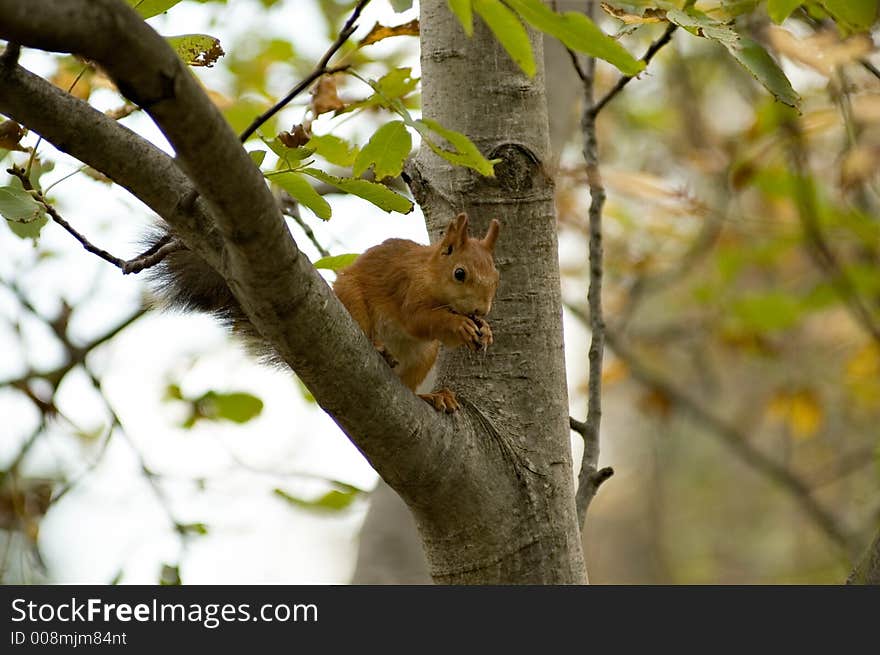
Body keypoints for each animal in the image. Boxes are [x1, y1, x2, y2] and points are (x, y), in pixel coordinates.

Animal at [148, 213, 498, 412]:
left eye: (496, 275)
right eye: (460, 274)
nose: (480, 309)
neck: (429, 270)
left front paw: (486, 331)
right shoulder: (407, 286)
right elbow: (418, 319)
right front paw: (458, 324)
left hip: (424, 356)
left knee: (409, 387)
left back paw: (432, 397)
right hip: (354, 303)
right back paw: (380, 349)